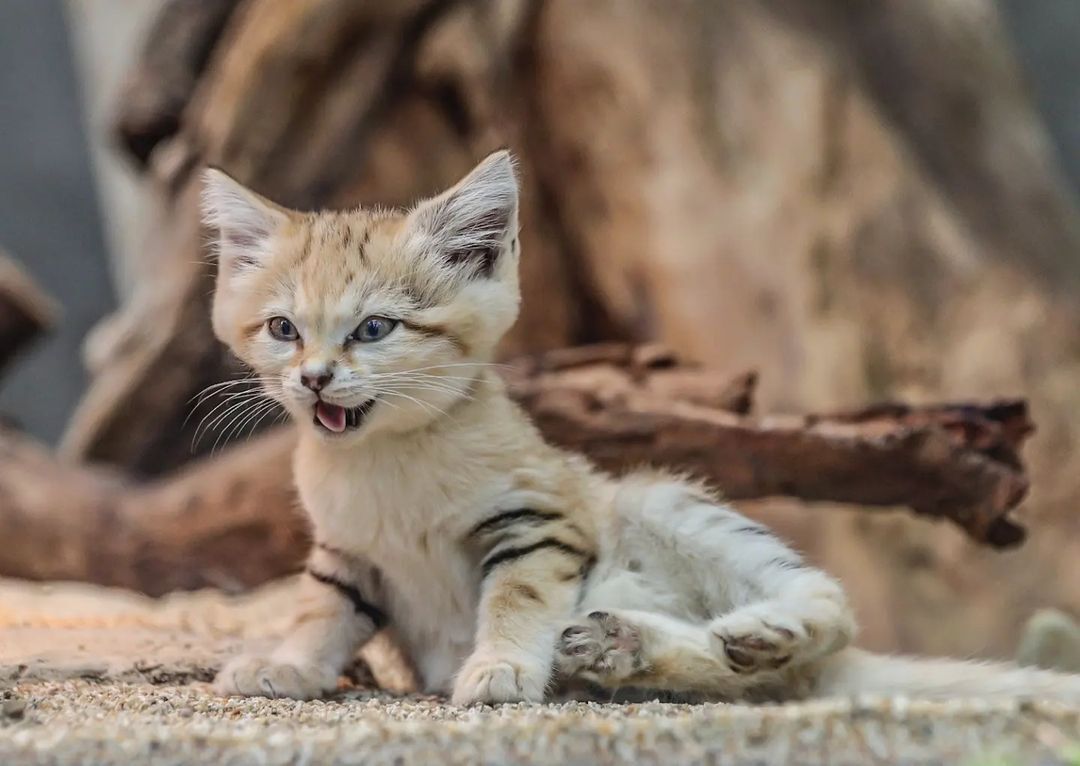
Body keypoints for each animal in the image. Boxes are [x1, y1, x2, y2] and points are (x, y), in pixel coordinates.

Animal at [203, 150, 1080, 705]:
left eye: (374, 330)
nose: (314, 378)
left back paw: (764, 628)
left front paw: (498, 669)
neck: (385, 461)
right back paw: (633, 645)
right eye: (283, 330)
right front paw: (286, 667)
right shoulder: (345, 556)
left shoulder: (539, 523)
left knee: (825, 612)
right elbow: (319, 614)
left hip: (663, 499)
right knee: (741, 677)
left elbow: (516, 600)